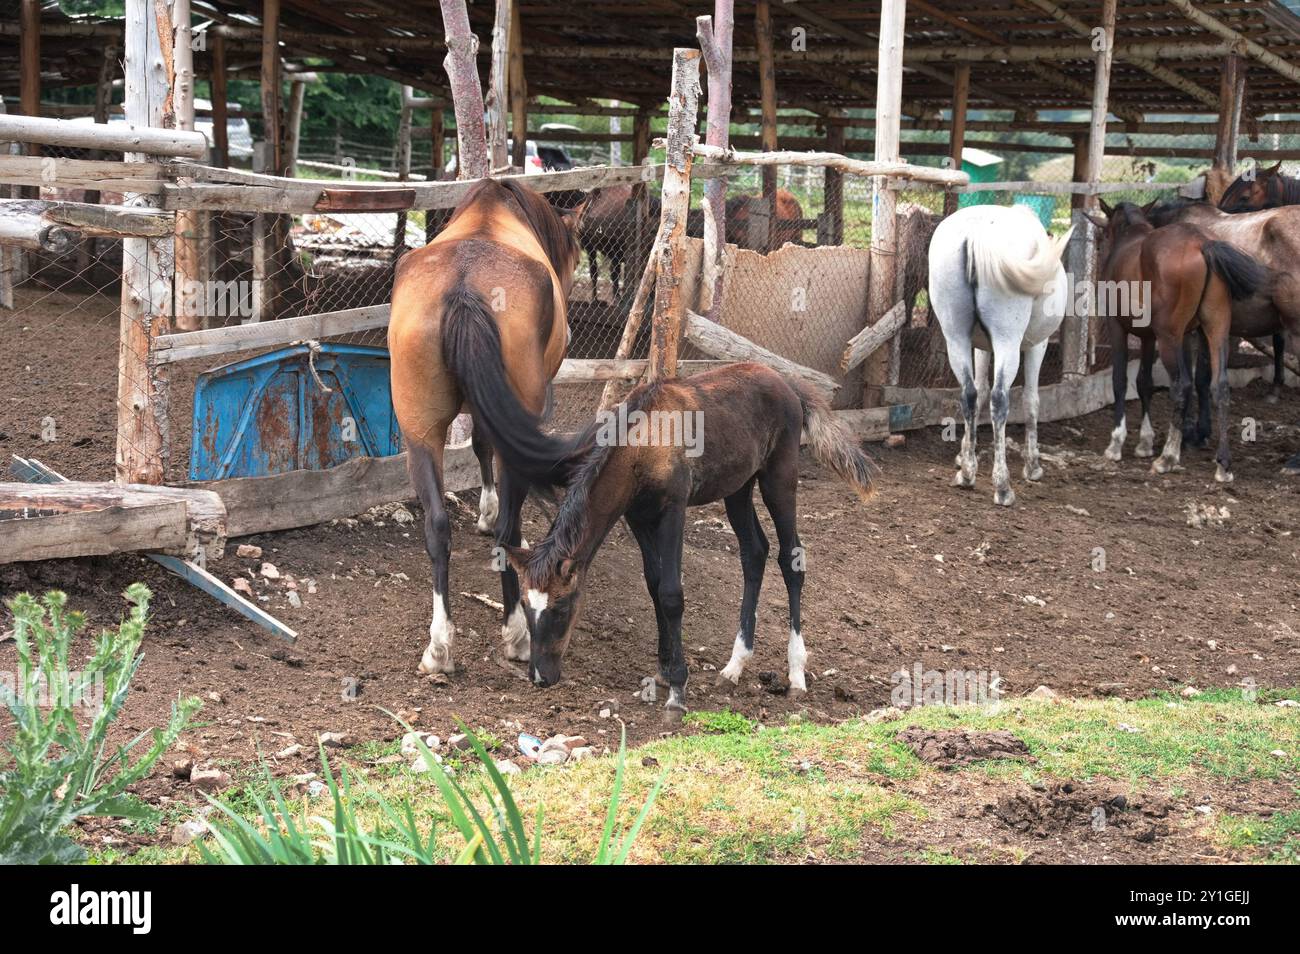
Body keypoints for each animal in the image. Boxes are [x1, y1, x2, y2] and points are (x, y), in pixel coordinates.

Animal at [388, 178, 590, 675]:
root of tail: (463, 288)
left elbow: (478, 445)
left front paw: (483, 509)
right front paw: (490, 511)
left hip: (419, 431)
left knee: (436, 526)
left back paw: (439, 645)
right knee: (508, 534)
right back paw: (516, 633)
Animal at [501, 362, 878, 721]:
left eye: (562, 607)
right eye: (525, 604)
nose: (541, 677)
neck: (643, 444)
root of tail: (787, 383)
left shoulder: (674, 510)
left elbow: (671, 594)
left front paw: (677, 690)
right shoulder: (638, 517)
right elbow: (653, 584)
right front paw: (664, 670)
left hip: (779, 478)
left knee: (791, 559)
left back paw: (796, 674)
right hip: (738, 487)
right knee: (754, 552)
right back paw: (734, 665)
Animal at [927, 205, 1072, 506]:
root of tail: (976, 232)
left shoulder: (981, 347)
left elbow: (980, 391)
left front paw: (963, 455)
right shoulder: (1037, 345)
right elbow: (1031, 400)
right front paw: (1033, 466)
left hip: (955, 337)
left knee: (969, 394)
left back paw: (967, 475)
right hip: (1008, 339)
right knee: (1000, 399)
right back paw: (1003, 486)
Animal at [1092, 201, 1269, 482]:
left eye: (1105, 234)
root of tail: (1202, 243)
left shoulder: (1118, 327)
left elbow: (1120, 380)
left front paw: (1116, 444)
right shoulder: (1149, 336)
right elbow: (1144, 382)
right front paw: (1145, 442)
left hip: (1169, 338)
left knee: (1182, 385)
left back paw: (1168, 457)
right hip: (1215, 328)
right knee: (1220, 386)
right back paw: (1223, 464)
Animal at [1145, 197, 1300, 473]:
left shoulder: (1184, 332)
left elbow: (1191, 380)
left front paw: (1188, 435)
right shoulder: (1209, 330)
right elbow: (1205, 379)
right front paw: (1201, 433)